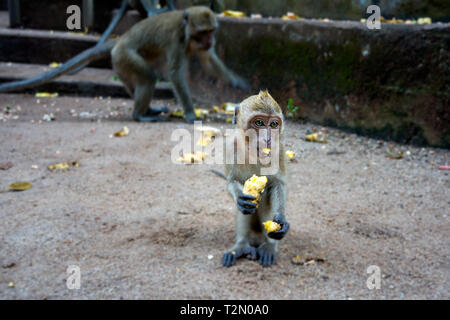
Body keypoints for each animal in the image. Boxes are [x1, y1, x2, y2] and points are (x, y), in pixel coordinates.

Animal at [221, 90, 288, 268]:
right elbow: (232, 182)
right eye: (259, 122)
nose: (268, 139)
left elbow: (278, 183)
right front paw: (241, 197)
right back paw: (241, 246)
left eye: (274, 124)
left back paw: (269, 247)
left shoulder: (279, 149)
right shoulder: (230, 146)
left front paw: (281, 221)